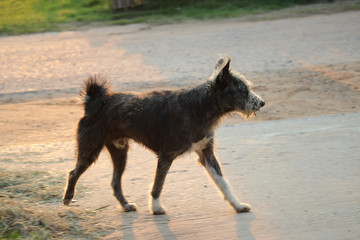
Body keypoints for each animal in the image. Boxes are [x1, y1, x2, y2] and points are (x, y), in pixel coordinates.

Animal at [62, 55, 264, 214]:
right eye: (243, 90)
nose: (262, 103)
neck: (200, 105)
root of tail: (94, 101)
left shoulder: (207, 154)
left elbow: (223, 183)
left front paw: (237, 205)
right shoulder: (166, 156)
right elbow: (157, 185)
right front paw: (156, 207)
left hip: (120, 153)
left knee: (114, 182)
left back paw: (125, 205)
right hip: (90, 151)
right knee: (73, 173)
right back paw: (68, 197)